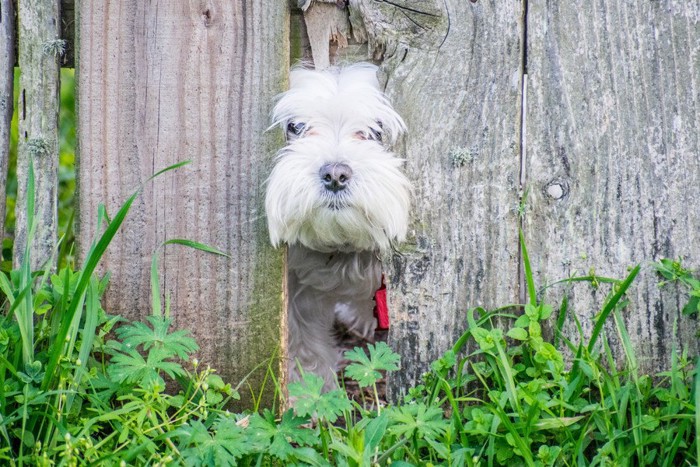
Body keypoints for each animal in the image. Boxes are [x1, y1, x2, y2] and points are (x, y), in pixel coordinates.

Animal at [266, 62, 410, 392]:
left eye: (376, 131)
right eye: (296, 127)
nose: (335, 174)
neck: (343, 244)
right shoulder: (296, 289)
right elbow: (304, 347)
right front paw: (311, 394)